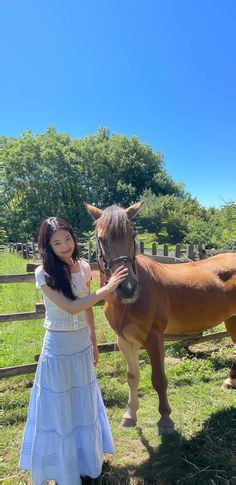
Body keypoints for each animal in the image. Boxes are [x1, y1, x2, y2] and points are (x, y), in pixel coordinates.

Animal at [85, 202, 236, 432]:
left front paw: (165, 419)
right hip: (232, 319)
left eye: (132, 234)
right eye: (101, 238)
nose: (128, 288)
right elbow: (132, 377)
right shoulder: (125, 340)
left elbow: (158, 379)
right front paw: (130, 416)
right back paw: (230, 381)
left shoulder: (154, 338)